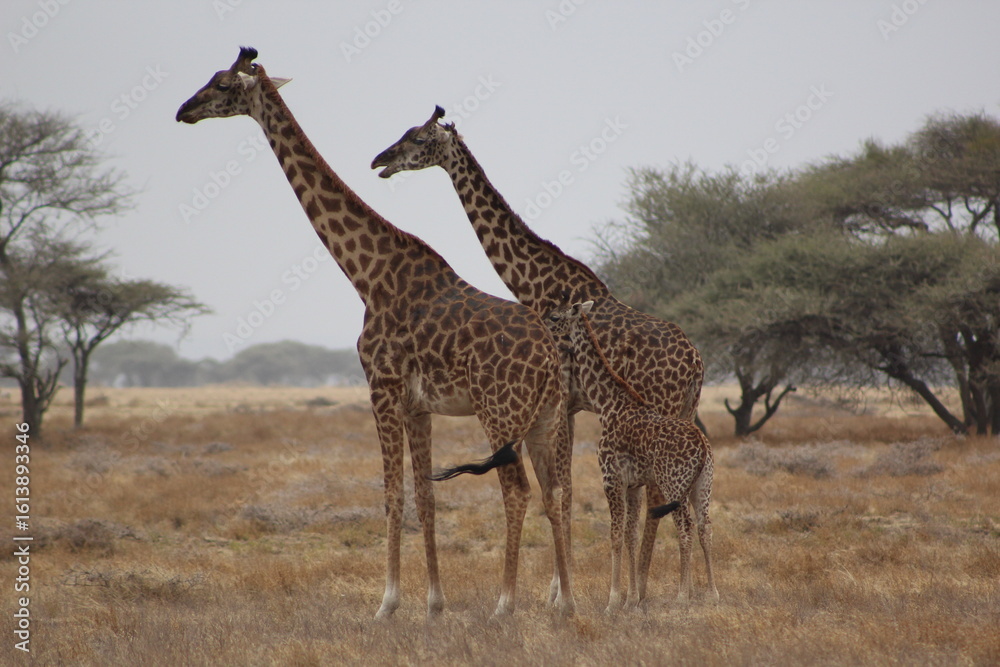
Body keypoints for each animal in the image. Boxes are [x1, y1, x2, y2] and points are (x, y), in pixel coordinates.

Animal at [176, 48, 575, 619]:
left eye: (223, 85)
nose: (183, 111)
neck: (367, 275)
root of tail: (549, 358)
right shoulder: (417, 404)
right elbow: (425, 496)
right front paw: (434, 603)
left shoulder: (380, 387)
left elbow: (392, 494)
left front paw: (386, 603)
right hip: (545, 417)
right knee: (555, 492)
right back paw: (565, 604)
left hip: (499, 413)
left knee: (517, 491)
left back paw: (504, 605)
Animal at [372, 107, 704, 600]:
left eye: (417, 138)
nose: (381, 160)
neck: (536, 283)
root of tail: (698, 363)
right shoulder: (568, 406)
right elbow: (563, 490)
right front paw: (561, 590)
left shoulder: (562, 401)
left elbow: (562, 490)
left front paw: (558, 594)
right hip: (683, 411)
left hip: (661, 413)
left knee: (661, 495)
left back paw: (651, 589)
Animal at [545, 301, 717, 611]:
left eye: (554, 316)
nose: (541, 325)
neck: (607, 404)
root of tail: (701, 445)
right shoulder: (633, 483)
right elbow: (630, 535)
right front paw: (630, 600)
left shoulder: (611, 478)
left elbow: (614, 535)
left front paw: (613, 600)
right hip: (703, 483)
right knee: (705, 527)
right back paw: (712, 594)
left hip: (674, 483)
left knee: (685, 528)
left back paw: (682, 596)